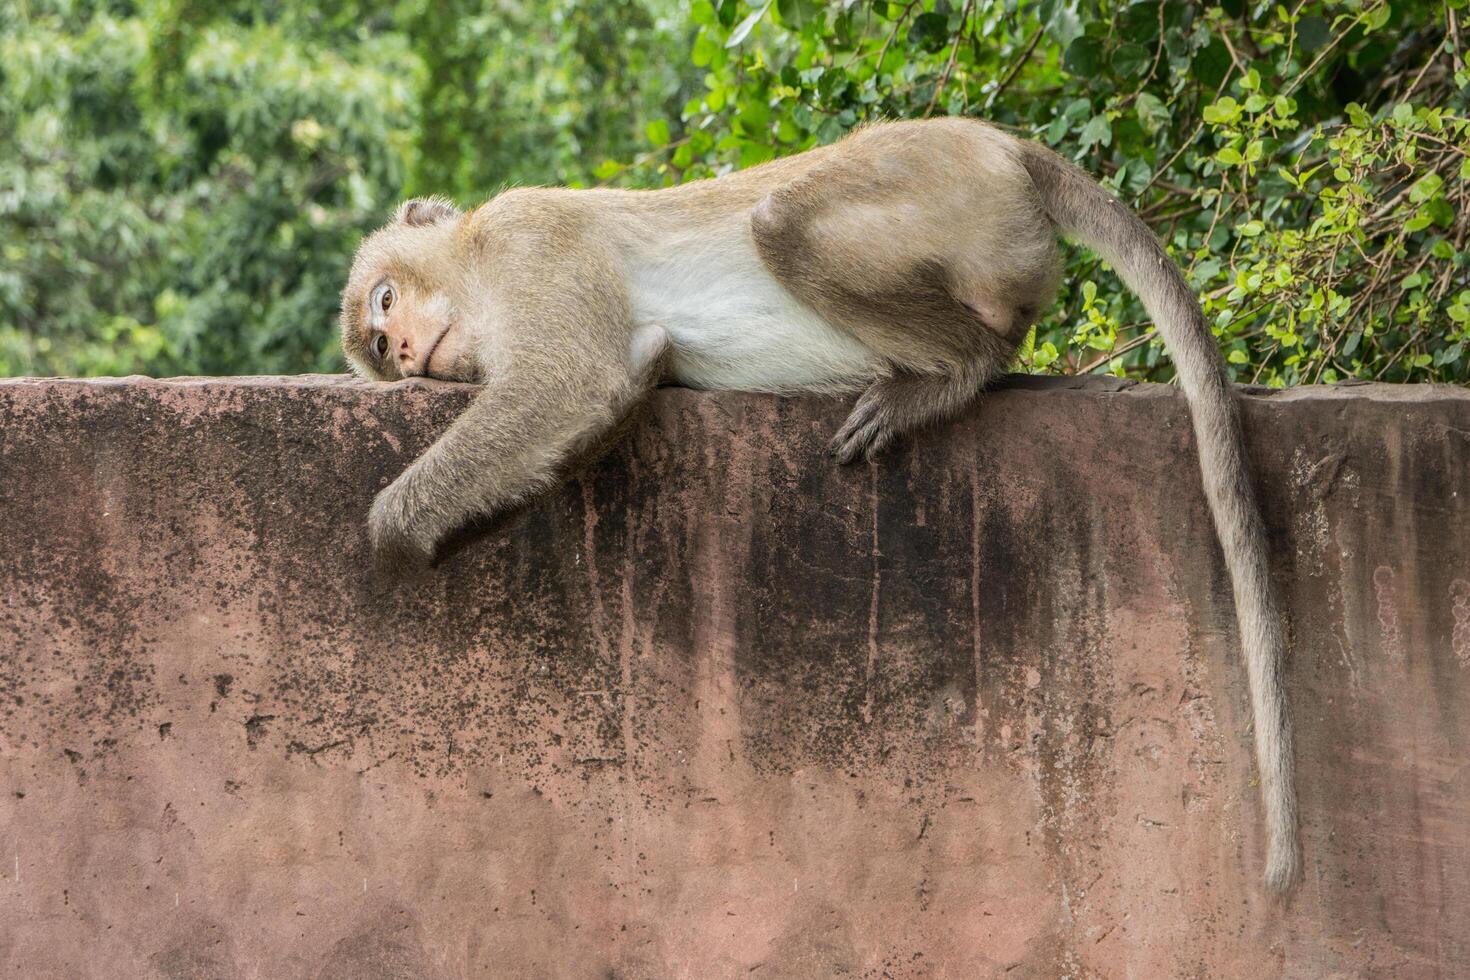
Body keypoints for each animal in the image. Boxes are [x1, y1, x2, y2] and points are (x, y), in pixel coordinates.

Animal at [341, 116, 1299, 899]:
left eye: (383, 303)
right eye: (380, 354)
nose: (400, 349)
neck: (474, 265)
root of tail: (1000, 143)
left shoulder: (526, 237)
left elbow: (568, 378)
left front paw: (395, 538)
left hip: (944, 190)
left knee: (784, 224)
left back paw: (956, 368)